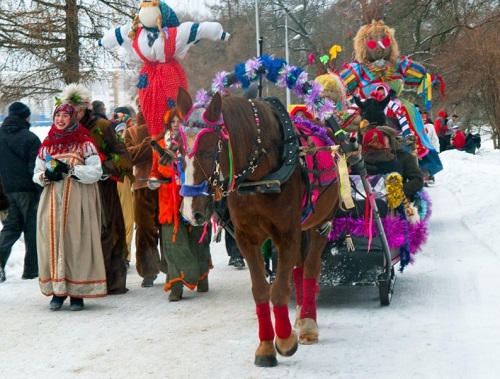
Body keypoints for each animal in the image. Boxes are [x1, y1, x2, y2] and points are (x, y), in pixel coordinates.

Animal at [174, 87, 342, 366]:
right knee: (298, 267)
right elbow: (262, 290)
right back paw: (298, 317)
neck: (258, 178)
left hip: (321, 224)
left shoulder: (287, 234)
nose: (190, 211)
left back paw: (308, 322)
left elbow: (279, 290)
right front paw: (265, 346)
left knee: (310, 268)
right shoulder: (246, 238)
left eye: (208, 152)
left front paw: (284, 340)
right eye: (177, 150)